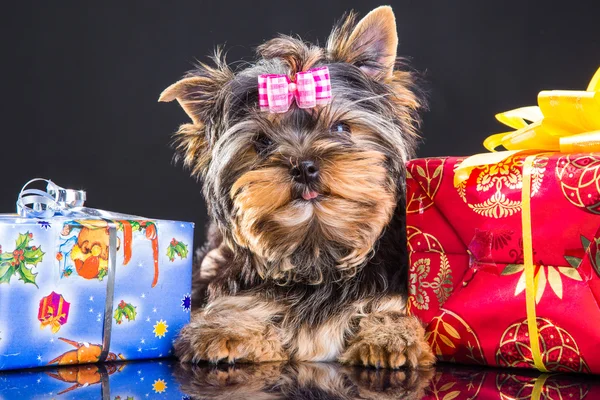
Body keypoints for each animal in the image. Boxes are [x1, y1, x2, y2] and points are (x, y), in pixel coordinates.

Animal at [158, 6, 432, 368]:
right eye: (262, 142)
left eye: (340, 127)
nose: (303, 167)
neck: (316, 253)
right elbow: (237, 304)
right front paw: (225, 329)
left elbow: (389, 309)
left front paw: (391, 336)